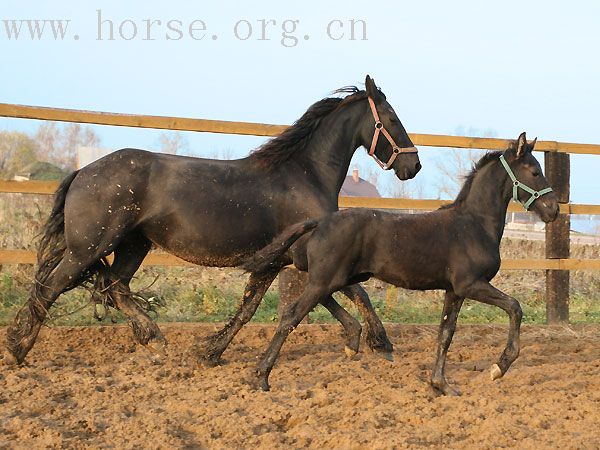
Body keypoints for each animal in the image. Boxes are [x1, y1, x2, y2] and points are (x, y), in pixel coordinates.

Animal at [7, 76, 424, 366]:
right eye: (391, 118)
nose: (414, 166)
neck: (302, 175)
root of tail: (82, 172)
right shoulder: (305, 255)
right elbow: (346, 293)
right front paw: (378, 342)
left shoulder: (284, 259)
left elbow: (268, 304)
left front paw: (210, 352)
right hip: (89, 248)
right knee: (51, 288)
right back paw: (17, 348)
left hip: (133, 244)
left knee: (115, 286)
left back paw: (153, 337)